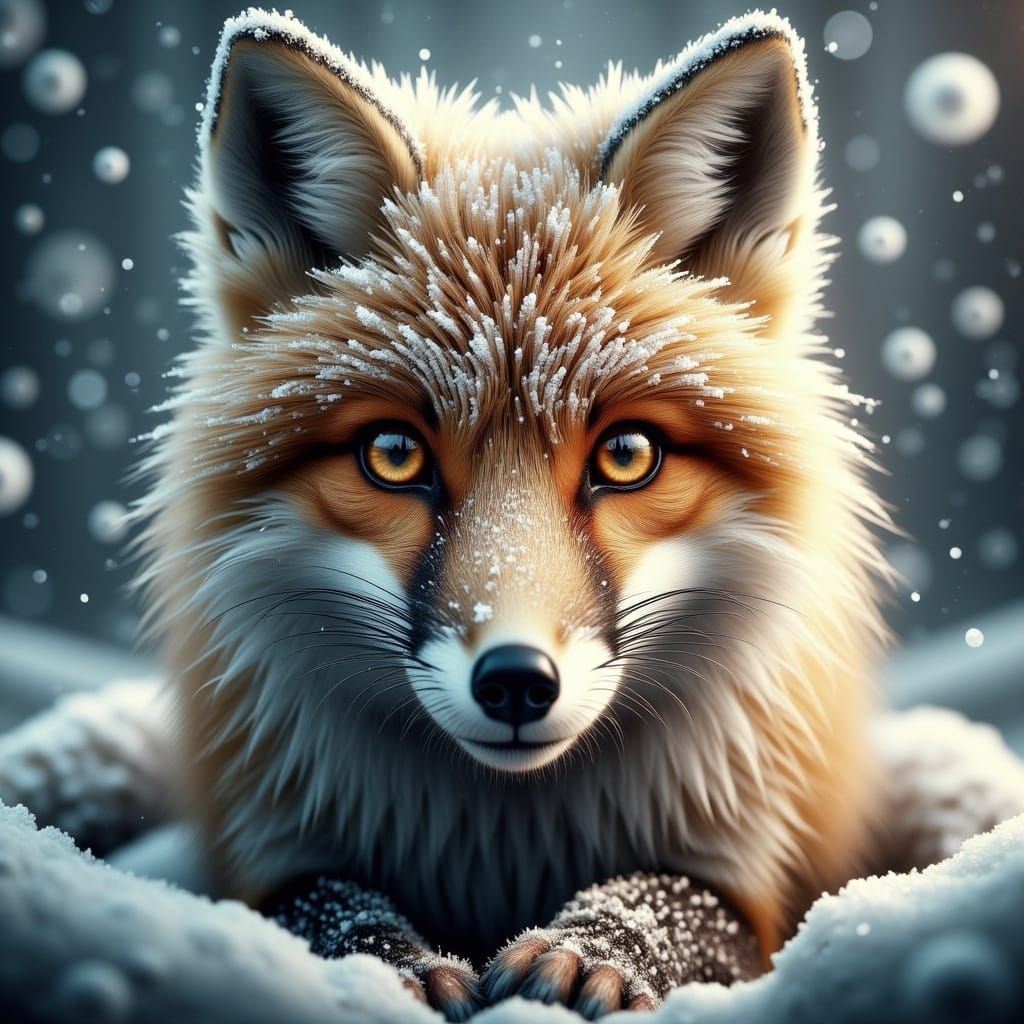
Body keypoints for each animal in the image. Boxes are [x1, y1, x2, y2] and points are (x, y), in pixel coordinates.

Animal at [132, 6, 891, 1019]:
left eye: (626, 456)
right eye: (394, 455)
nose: (518, 683)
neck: (504, 831)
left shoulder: (754, 871)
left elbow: (676, 901)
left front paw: (595, 949)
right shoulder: (267, 847)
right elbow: (321, 903)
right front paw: (388, 963)